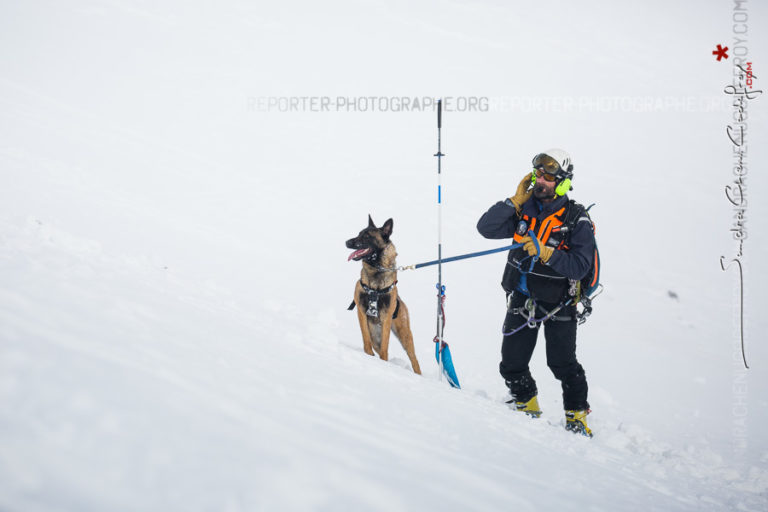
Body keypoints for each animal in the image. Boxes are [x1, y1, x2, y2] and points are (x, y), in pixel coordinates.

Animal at [346, 216, 424, 376]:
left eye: (367, 236)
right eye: (359, 233)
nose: (347, 242)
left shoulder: (386, 319)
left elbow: (385, 348)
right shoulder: (361, 313)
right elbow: (366, 340)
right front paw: (369, 357)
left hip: (404, 334)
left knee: (414, 359)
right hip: (376, 333)